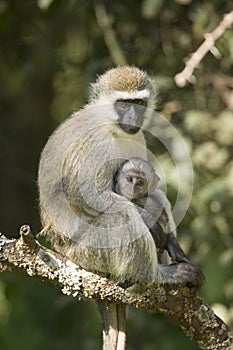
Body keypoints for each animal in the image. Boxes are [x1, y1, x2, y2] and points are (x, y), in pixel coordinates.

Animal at [38, 66, 204, 350]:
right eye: (124, 104)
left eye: (139, 103)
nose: (134, 117)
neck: (112, 128)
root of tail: (61, 250)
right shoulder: (93, 144)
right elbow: (87, 196)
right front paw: (152, 229)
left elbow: (154, 189)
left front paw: (173, 243)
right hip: (86, 252)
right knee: (122, 214)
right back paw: (155, 275)